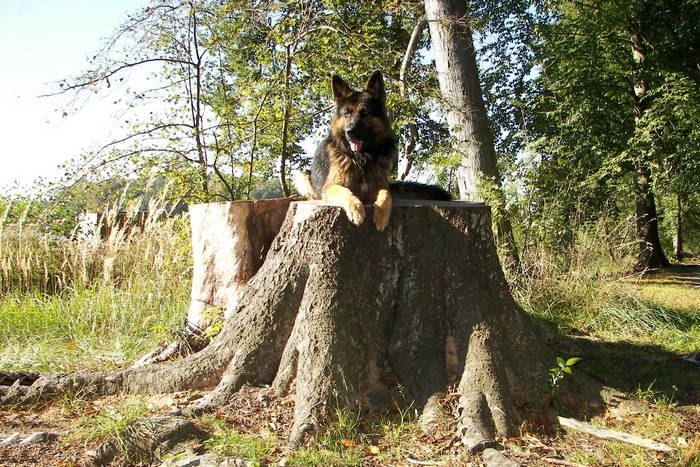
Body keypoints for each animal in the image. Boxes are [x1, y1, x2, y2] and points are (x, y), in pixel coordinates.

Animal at [294, 71, 448, 230]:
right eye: (347, 113)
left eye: (365, 112)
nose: (350, 132)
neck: (361, 158)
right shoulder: (330, 186)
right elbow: (345, 192)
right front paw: (356, 209)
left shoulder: (377, 186)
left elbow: (386, 194)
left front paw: (381, 215)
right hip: (301, 176)